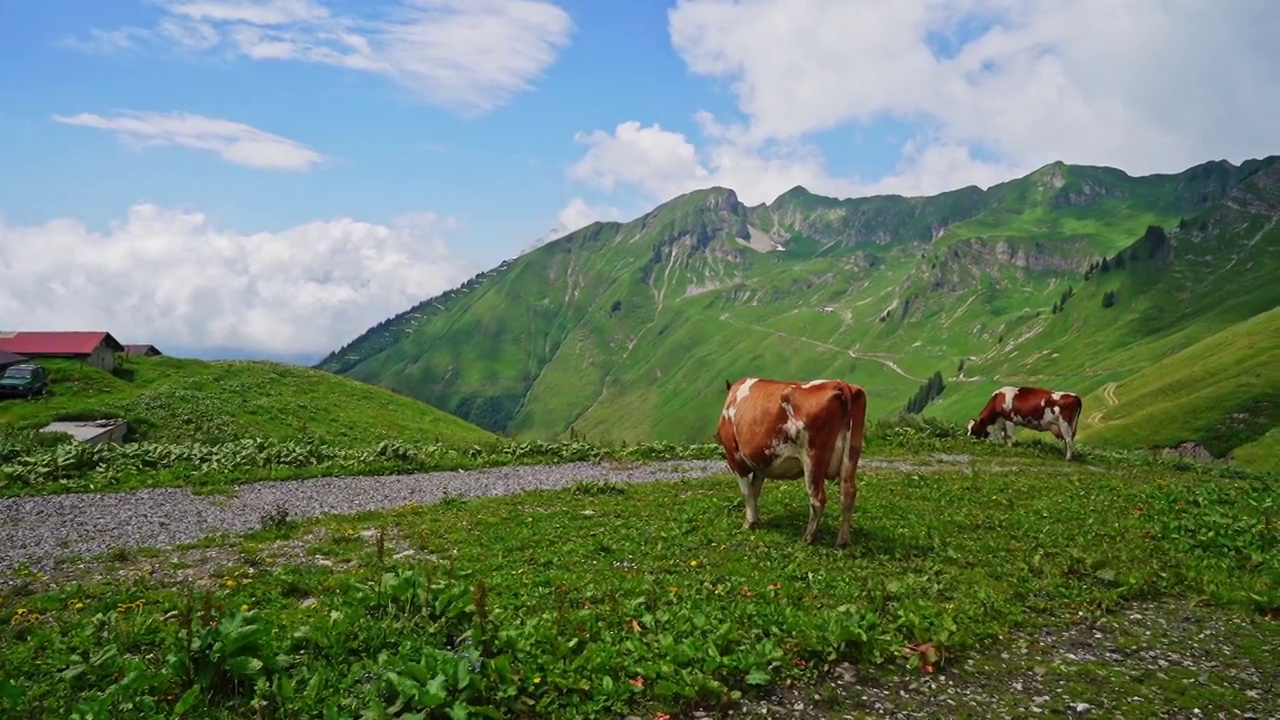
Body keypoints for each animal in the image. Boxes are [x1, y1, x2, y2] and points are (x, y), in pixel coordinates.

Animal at [716, 376, 865, 543]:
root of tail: (839, 384)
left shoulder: (734, 457)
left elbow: (747, 492)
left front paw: (749, 523)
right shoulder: (761, 465)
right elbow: (755, 491)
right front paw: (756, 520)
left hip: (812, 458)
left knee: (817, 498)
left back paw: (808, 537)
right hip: (851, 454)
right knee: (848, 493)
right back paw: (842, 540)